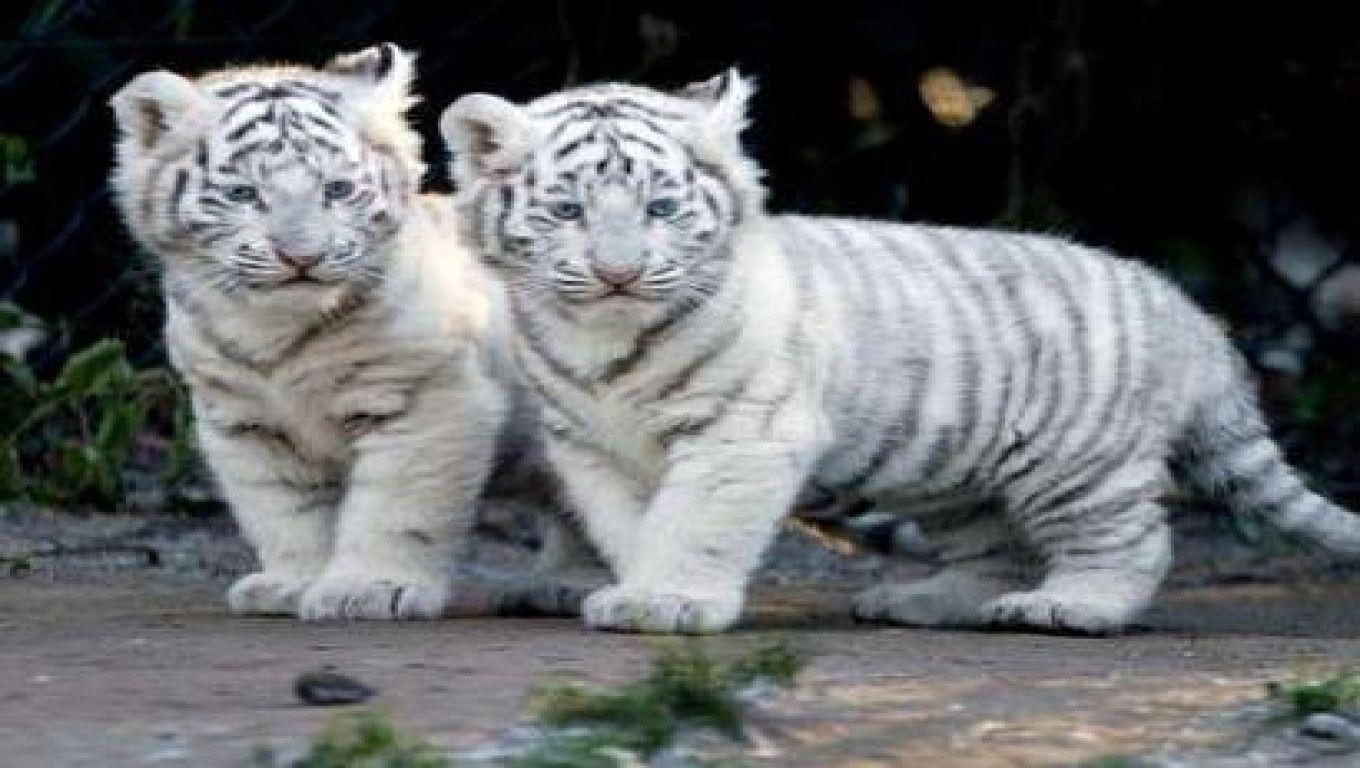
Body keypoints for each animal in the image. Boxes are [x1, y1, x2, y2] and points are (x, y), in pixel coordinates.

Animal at [108, 43, 596, 620]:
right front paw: (292, 584)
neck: (275, 333)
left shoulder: (427, 399)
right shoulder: (244, 420)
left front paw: (371, 590)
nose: (301, 257)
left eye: (337, 190)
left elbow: (394, 503)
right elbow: (283, 512)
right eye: (243, 193)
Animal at [437, 69, 1360, 635]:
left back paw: (1072, 608)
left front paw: (669, 600)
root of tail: (1188, 312)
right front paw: (631, 586)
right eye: (568, 212)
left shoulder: (743, 434)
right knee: (994, 550)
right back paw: (924, 600)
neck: (605, 344)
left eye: (661, 209)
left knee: (1129, 541)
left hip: (1077, 464)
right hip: (959, 474)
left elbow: (695, 521)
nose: (619, 272)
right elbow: (630, 525)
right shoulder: (592, 446)